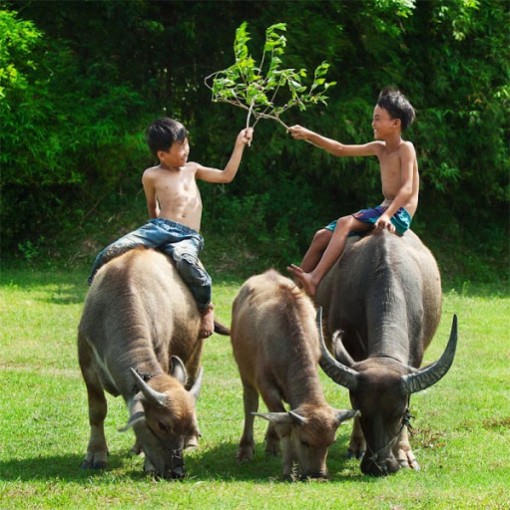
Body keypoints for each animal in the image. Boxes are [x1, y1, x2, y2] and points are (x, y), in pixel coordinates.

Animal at [76, 247, 212, 478]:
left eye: (189, 426)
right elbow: (97, 411)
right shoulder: (86, 361)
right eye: (162, 425)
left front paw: (148, 462)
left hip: (196, 349)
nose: (177, 471)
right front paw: (95, 454)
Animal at [231, 268, 358, 480]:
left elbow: (283, 418)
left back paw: (271, 444)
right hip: (245, 372)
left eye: (330, 442)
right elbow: (284, 425)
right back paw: (245, 449)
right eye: (304, 441)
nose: (318, 474)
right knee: (250, 404)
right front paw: (288, 468)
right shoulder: (265, 385)